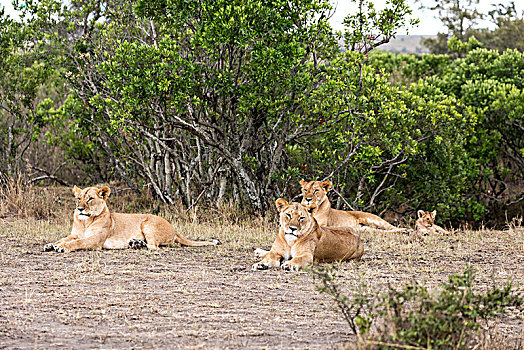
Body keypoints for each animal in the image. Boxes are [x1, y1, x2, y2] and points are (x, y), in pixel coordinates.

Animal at [42, 185, 219, 253]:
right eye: (78, 198)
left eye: (90, 198)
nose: (79, 209)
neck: (85, 222)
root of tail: (174, 230)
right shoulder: (74, 234)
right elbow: (64, 238)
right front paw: (51, 244)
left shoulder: (96, 240)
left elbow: (78, 242)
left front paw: (63, 247)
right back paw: (136, 243)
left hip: (148, 223)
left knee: (154, 247)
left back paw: (138, 245)